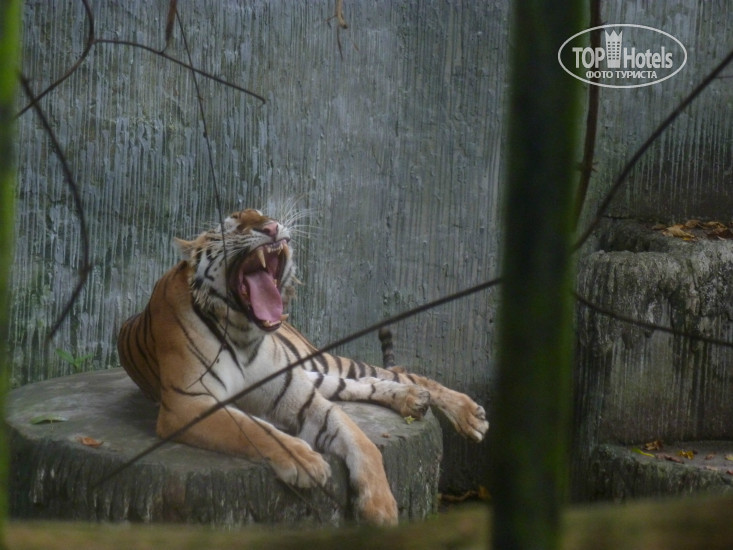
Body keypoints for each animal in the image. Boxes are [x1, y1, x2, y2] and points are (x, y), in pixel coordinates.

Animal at [117, 208, 489, 525]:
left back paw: (464, 412)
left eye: (262, 214)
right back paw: (414, 399)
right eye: (233, 226)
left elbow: (359, 438)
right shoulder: (189, 404)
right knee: (366, 383)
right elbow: (253, 428)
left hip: (317, 360)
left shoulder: (298, 395)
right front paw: (306, 461)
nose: (271, 227)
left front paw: (381, 508)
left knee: (396, 373)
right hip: (314, 372)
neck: (243, 332)